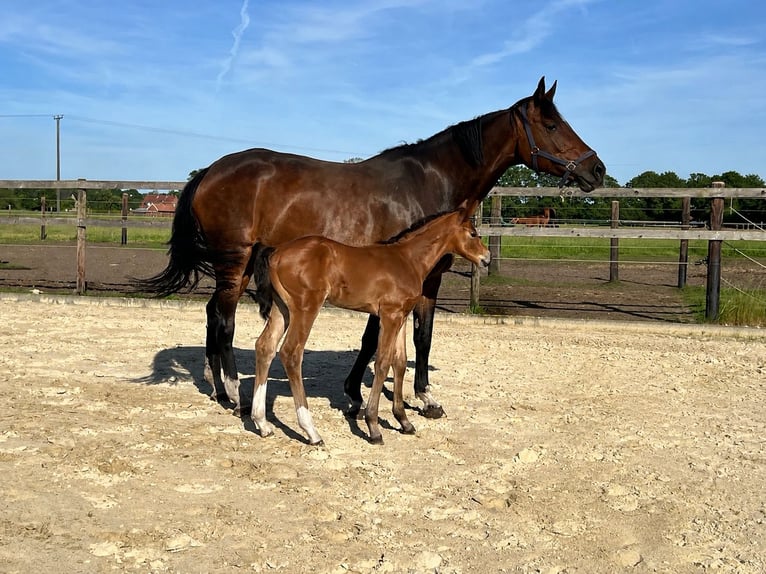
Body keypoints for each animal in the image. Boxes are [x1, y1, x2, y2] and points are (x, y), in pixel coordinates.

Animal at [135, 77, 605, 418]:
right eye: (551, 125)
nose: (596, 169)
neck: (429, 181)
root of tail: (210, 171)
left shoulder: (417, 279)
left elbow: (411, 336)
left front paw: (407, 396)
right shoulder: (408, 277)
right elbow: (389, 338)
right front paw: (371, 398)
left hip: (246, 260)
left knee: (213, 314)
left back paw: (218, 389)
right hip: (234, 258)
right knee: (225, 318)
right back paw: (234, 392)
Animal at [250, 205, 490, 445]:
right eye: (473, 233)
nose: (486, 258)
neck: (408, 259)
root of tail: (276, 253)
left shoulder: (401, 316)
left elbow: (400, 362)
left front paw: (404, 422)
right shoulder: (389, 316)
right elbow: (382, 363)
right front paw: (373, 426)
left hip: (282, 309)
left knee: (265, 347)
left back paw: (262, 424)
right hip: (306, 308)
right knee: (291, 353)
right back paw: (311, 431)